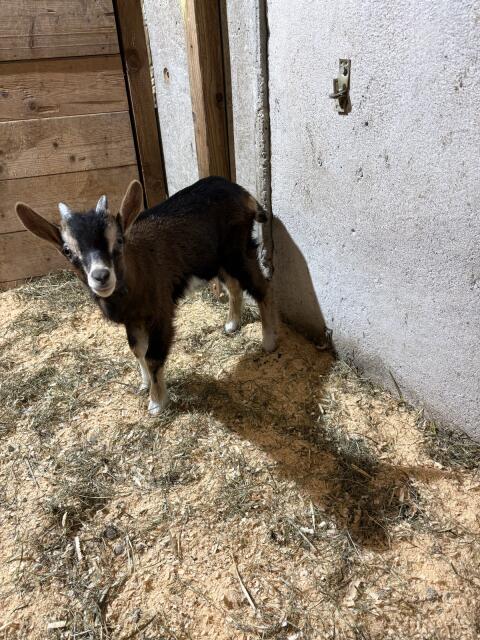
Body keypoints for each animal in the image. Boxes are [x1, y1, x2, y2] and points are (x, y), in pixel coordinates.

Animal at [16, 177, 279, 415]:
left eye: (118, 240)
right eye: (67, 251)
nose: (101, 276)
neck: (136, 274)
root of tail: (243, 193)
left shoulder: (160, 313)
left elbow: (153, 356)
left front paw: (156, 403)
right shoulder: (133, 320)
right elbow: (137, 349)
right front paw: (143, 384)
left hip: (238, 250)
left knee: (262, 287)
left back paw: (268, 342)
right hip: (216, 260)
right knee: (234, 286)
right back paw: (232, 324)